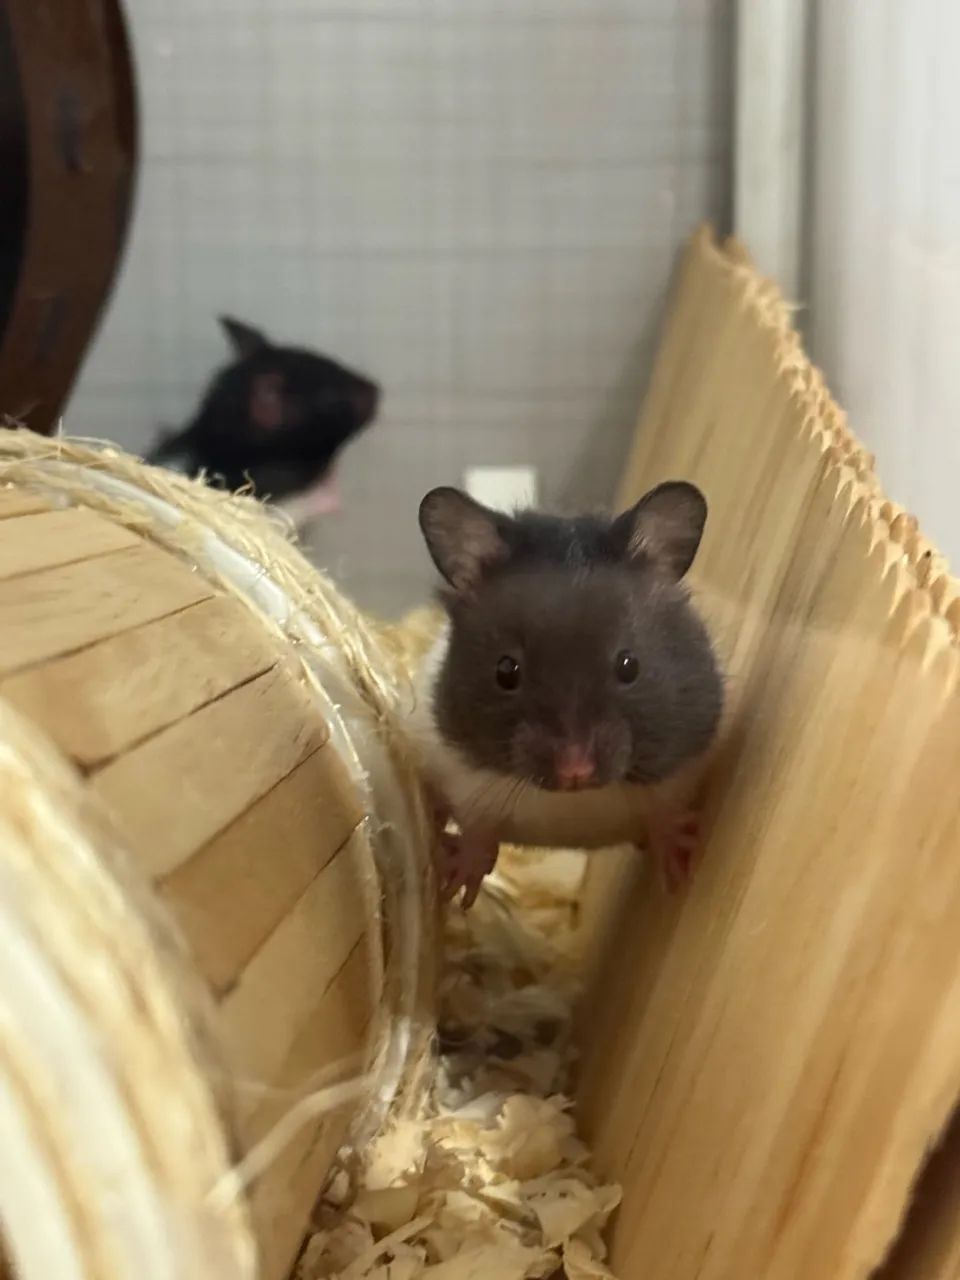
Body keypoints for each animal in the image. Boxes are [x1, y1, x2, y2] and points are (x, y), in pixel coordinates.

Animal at [410, 482, 724, 907]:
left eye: (629, 665)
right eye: (506, 671)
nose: (575, 771)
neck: (573, 802)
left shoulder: (680, 770)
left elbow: (664, 812)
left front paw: (681, 865)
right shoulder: (460, 773)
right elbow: (477, 827)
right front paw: (458, 888)